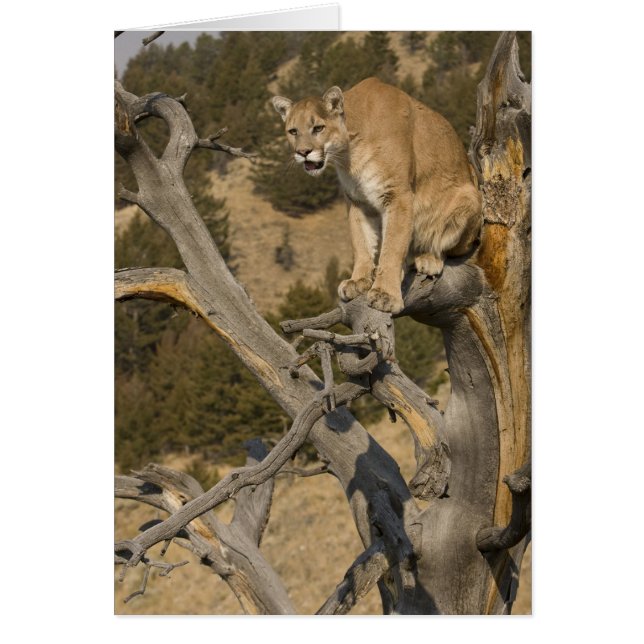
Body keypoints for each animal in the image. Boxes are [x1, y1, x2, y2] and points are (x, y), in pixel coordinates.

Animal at [272, 77, 482, 314]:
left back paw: (429, 258)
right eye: (293, 131)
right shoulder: (357, 200)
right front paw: (359, 280)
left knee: (450, 247)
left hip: (469, 197)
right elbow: (361, 243)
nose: (303, 152)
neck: (349, 152)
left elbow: (392, 247)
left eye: (318, 128)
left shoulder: (398, 196)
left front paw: (385, 294)